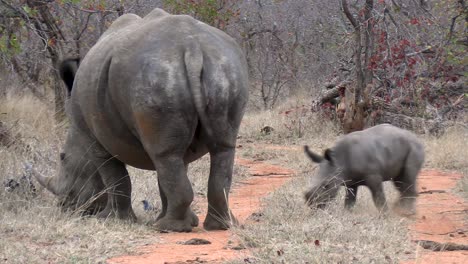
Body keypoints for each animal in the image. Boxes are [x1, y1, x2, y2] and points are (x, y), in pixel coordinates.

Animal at [33, 7, 249, 233]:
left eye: (63, 157)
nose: (64, 207)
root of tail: (192, 48)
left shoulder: (94, 141)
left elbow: (116, 178)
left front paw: (112, 219)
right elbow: (169, 175)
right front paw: (186, 220)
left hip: (154, 76)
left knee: (166, 155)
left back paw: (168, 228)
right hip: (223, 69)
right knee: (216, 149)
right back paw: (219, 226)